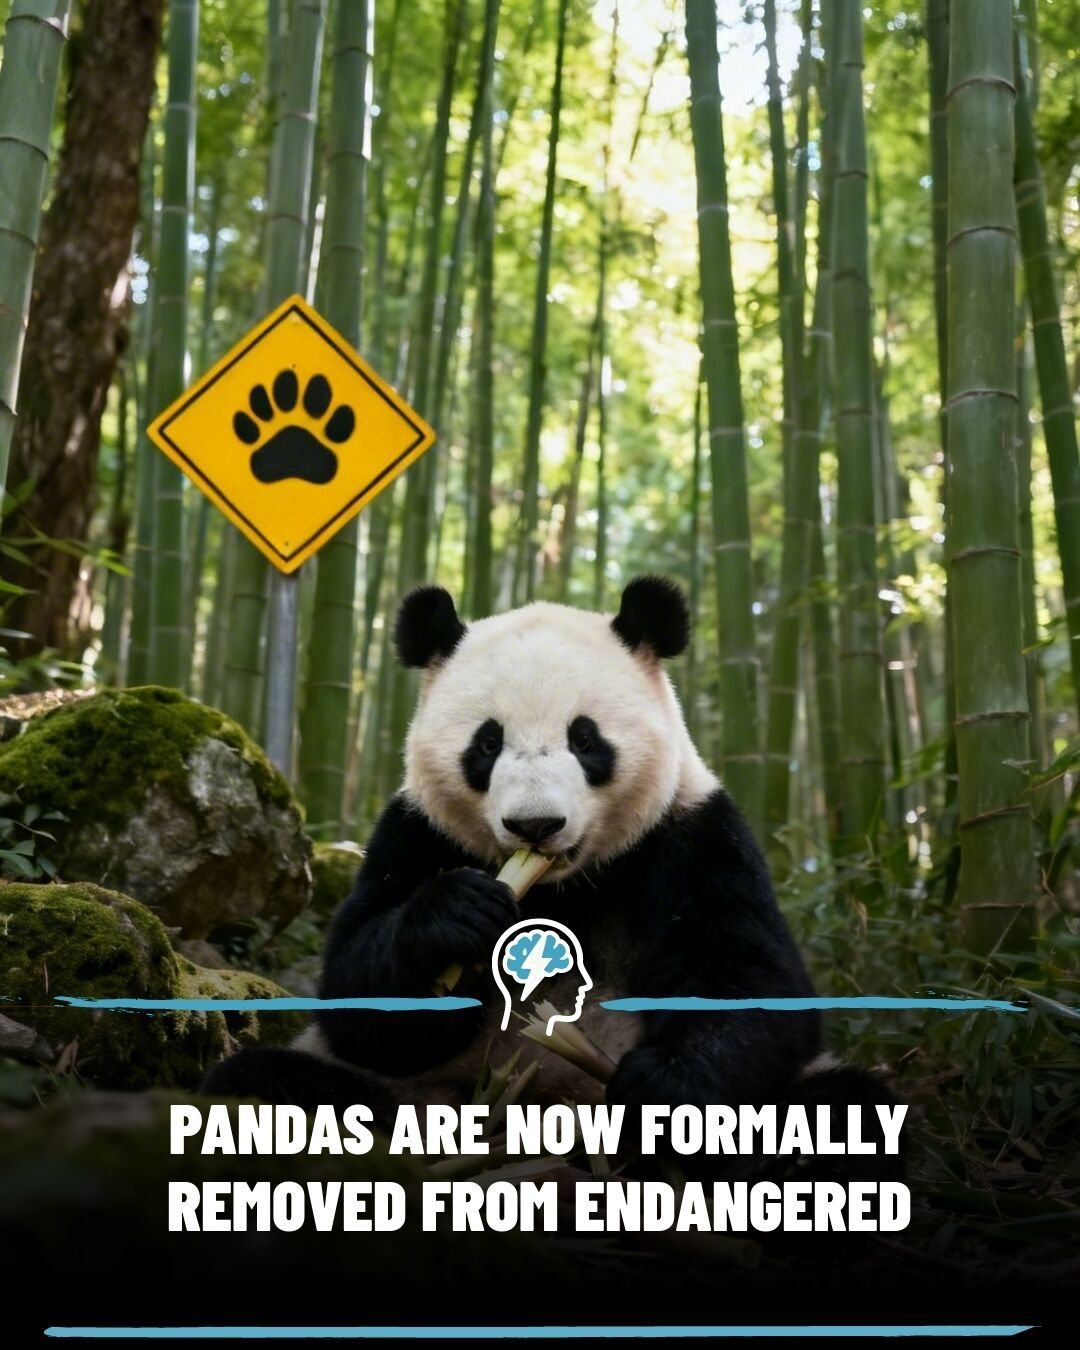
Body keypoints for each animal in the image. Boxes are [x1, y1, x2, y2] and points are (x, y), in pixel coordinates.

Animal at [205, 575, 895, 1167]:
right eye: (487, 744)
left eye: (585, 740)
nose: (534, 826)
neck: (562, 887)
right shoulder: (413, 834)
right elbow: (358, 1000)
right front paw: (456, 916)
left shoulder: (694, 835)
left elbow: (748, 978)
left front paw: (662, 1092)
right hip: (418, 1094)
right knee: (269, 1088)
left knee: (842, 1112)